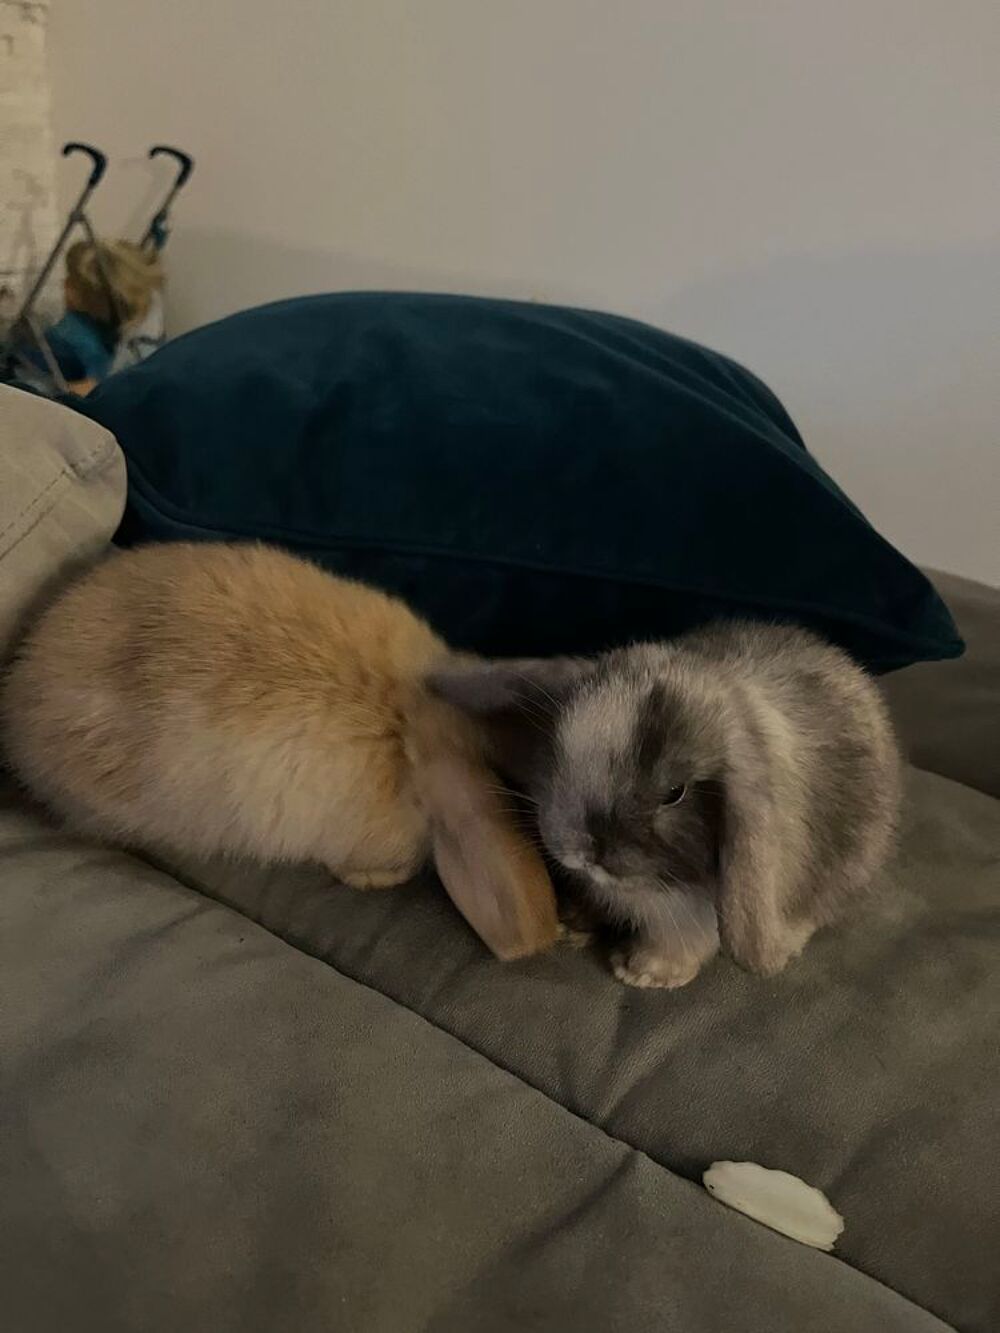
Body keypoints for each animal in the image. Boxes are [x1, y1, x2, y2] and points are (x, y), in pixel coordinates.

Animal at [431, 621, 901, 988]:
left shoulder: (692, 914)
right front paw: (571, 922)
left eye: (675, 792)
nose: (584, 851)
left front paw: (642, 972)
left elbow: (681, 944)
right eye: (559, 748)